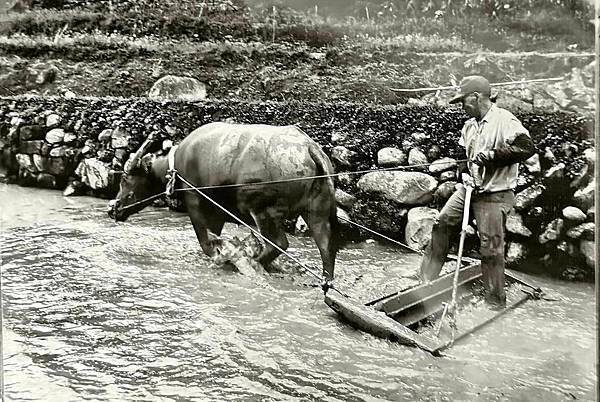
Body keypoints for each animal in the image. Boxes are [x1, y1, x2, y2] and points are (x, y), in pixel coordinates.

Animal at [109, 122, 338, 282]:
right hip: (317, 211)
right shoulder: (217, 214)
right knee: (326, 247)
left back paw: (251, 263)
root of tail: (308, 147)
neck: (176, 167)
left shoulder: (196, 204)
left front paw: (218, 257)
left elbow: (205, 242)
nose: (113, 208)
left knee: (279, 243)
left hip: (264, 211)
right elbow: (214, 237)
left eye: (125, 178)